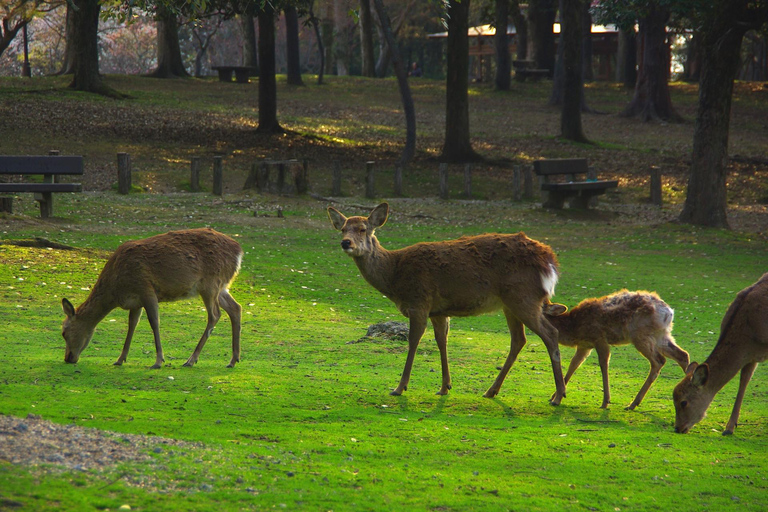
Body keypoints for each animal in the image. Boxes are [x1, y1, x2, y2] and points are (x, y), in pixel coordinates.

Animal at [61, 228, 242, 368]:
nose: (68, 358)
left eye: (64, 332)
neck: (115, 289)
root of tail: (239, 252)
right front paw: (120, 359)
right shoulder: (135, 301)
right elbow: (132, 325)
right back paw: (233, 360)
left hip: (210, 284)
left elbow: (154, 322)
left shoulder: (146, 289)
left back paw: (191, 360)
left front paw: (158, 361)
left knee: (215, 315)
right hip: (222, 287)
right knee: (235, 308)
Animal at [328, 202, 568, 402]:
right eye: (343, 229)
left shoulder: (419, 301)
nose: (345, 242)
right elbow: (441, 341)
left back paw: (557, 395)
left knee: (550, 333)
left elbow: (413, 341)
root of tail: (549, 260)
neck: (394, 276)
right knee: (519, 340)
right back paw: (492, 390)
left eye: (362, 229)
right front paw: (445, 387)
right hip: (510, 304)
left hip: (523, 297)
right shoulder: (439, 310)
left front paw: (399, 387)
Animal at [540, 290, 688, 410]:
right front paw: (555, 396)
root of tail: (669, 312)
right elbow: (573, 364)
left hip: (640, 335)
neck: (573, 328)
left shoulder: (599, 338)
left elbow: (603, 364)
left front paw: (605, 402)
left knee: (659, 360)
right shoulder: (584, 345)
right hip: (662, 334)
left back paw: (633, 404)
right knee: (682, 354)